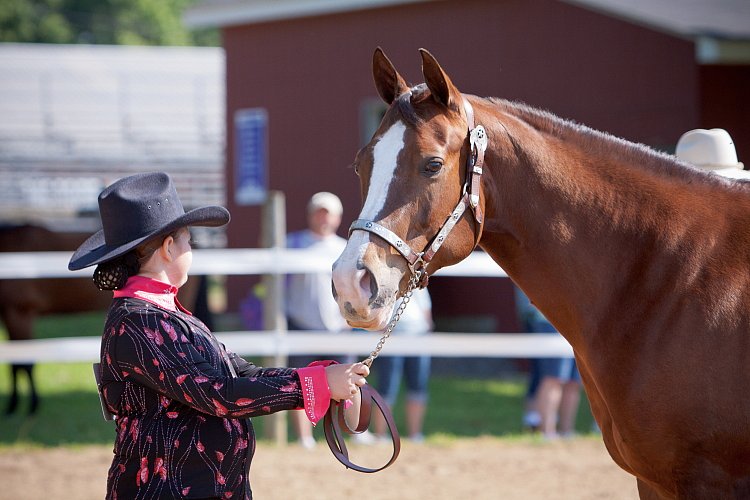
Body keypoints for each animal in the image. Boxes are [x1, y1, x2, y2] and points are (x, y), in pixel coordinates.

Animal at [0, 225, 206, 416]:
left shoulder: (19, 313)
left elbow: (21, 364)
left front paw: (24, 405)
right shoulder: (16, 313)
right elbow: (19, 364)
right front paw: (21, 405)